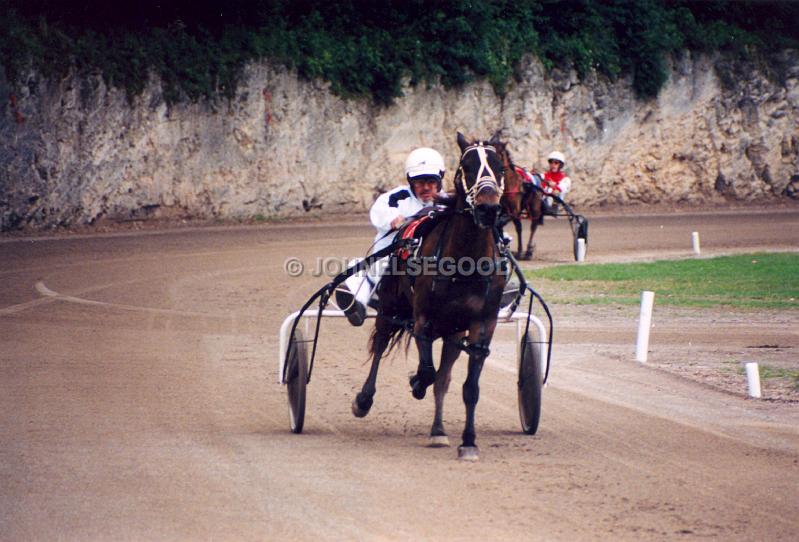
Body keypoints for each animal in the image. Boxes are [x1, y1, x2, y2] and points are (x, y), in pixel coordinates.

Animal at [350, 133, 506, 464]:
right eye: (466, 166)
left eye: (499, 167)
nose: (488, 208)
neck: (465, 264)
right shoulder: (423, 320)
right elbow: (426, 371)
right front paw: (415, 383)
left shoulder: (481, 327)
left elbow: (468, 387)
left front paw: (468, 442)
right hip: (390, 307)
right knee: (381, 345)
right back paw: (364, 399)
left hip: (453, 332)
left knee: (444, 379)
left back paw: (438, 431)